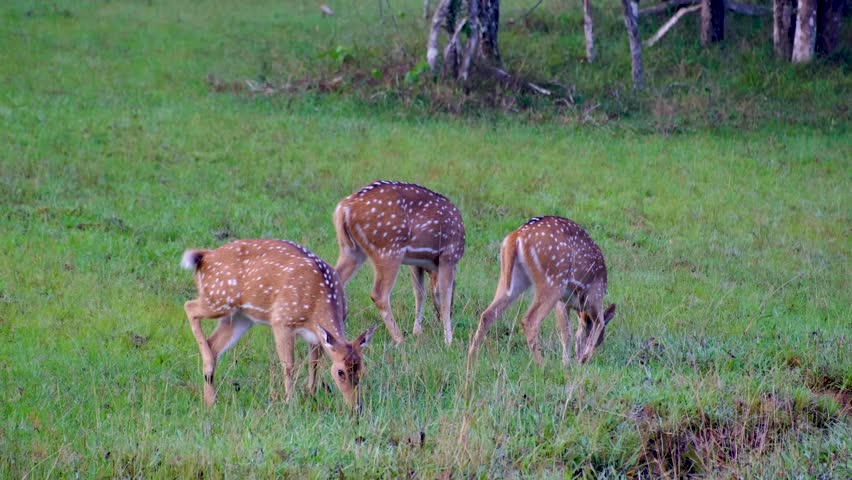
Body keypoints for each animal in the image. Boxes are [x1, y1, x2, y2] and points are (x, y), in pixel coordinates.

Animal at [180, 239, 378, 410]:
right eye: (340, 372)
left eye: (362, 370)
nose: (357, 406)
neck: (316, 305)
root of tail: (204, 257)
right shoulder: (282, 320)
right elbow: (289, 365)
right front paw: (290, 402)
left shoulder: (315, 336)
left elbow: (314, 364)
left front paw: (311, 394)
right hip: (219, 298)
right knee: (189, 307)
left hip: (239, 317)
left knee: (214, 345)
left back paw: (211, 400)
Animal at [333, 181, 466, 345]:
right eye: (455, 290)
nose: (439, 318)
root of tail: (344, 209)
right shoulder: (449, 256)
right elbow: (443, 294)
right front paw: (448, 341)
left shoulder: (415, 264)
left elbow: (419, 293)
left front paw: (417, 332)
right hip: (388, 250)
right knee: (379, 294)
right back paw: (400, 339)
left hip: (351, 250)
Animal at [468, 216, 616, 365]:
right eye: (601, 340)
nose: (582, 359)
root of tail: (516, 235)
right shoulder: (594, 296)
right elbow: (598, 322)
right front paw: (581, 359)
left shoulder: (563, 303)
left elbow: (567, 333)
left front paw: (566, 363)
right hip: (553, 280)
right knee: (529, 320)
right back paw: (542, 364)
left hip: (513, 279)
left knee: (487, 314)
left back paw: (471, 360)